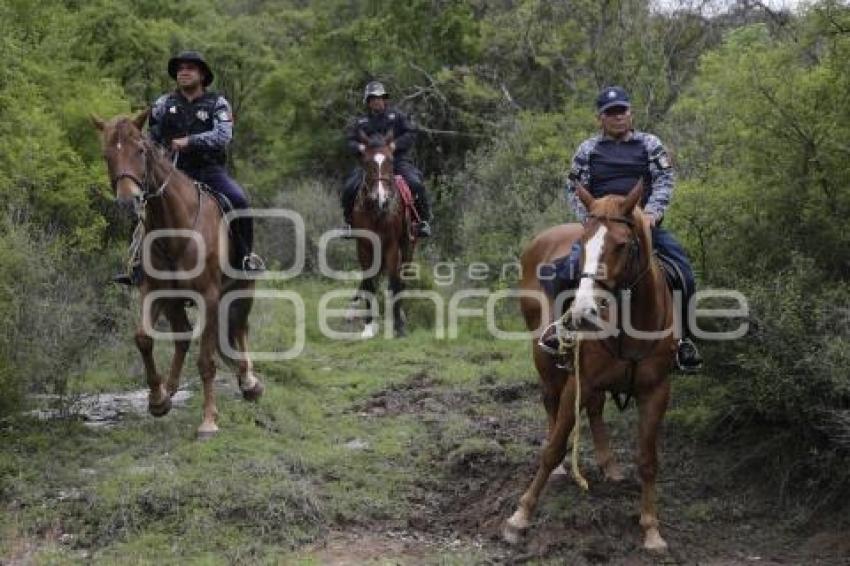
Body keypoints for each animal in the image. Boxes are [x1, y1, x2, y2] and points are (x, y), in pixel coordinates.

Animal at [91, 111, 264, 440]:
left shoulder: (209, 297)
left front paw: (208, 421)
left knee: (240, 329)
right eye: (106, 155)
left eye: (140, 151)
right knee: (183, 337)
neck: (174, 227)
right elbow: (144, 338)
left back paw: (249, 382)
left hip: (242, 289)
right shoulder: (155, 291)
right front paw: (157, 399)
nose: (127, 200)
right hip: (175, 302)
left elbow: (206, 361)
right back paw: (168, 390)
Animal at [346, 131, 416, 340]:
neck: (376, 211)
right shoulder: (364, 246)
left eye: (390, 160)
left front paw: (398, 326)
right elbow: (369, 282)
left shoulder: (391, 245)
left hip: (408, 247)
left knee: (401, 280)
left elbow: (393, 281)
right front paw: (369, 326)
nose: (381, 198)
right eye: (366, 161)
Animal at [504, 183, 676, 556]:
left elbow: (648, 461)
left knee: (595, 409)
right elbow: (553, 448)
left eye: (622, 245)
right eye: (582, 245)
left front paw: (651, 530)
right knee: (551, 404)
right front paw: (520, 517)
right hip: (546, 360)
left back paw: (608, 463)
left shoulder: (656, 391)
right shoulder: (577, 382)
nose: (583, 311)